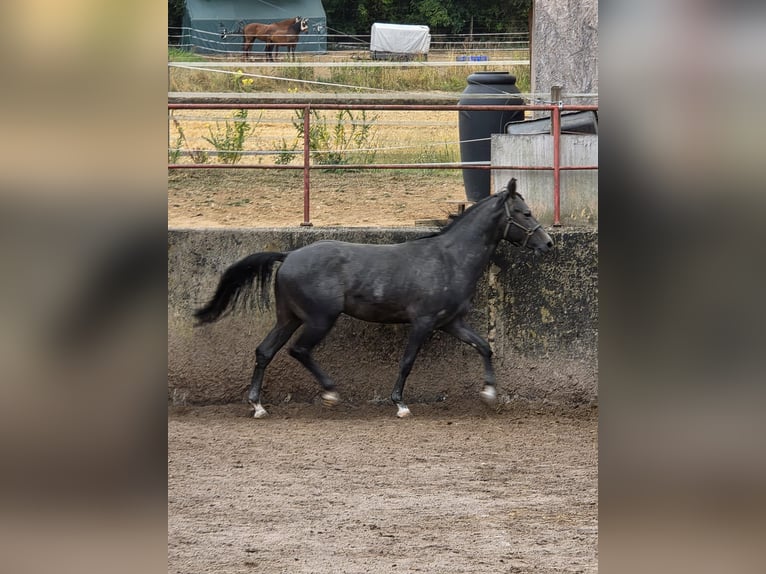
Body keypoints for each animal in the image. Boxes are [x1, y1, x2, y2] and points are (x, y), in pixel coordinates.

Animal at [194, 178, 554, 419]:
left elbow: (483, 346)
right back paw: (330, 393)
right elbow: (407, 361)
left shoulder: (451, 322)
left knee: (265, 351)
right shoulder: (423, 322)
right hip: (320, 318)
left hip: (289, 317)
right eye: (524, 212)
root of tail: (289, 255)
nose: (548, 243)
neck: (449, 259)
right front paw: (400, 404)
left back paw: (257, 405)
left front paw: (490, 392)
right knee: (299, 350)